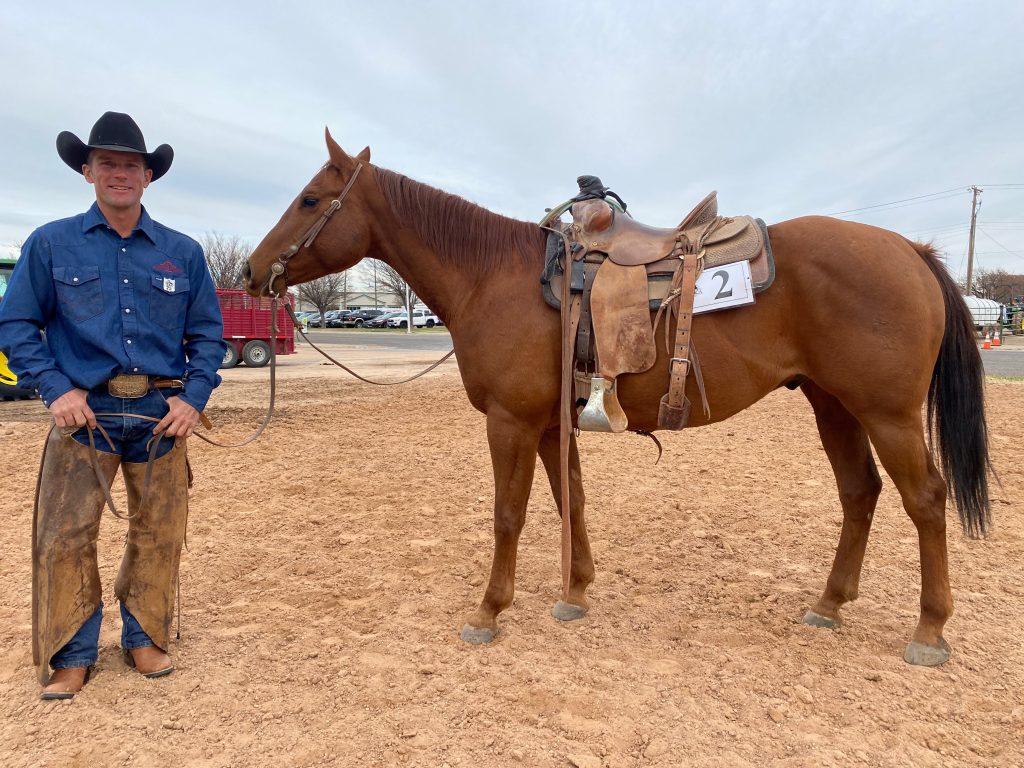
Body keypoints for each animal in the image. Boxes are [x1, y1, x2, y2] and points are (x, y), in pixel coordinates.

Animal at [243, 130, 991, 667]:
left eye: (309, 199)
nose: (252, 271)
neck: (493, 276)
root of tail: (911, 250)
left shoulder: (511, 423)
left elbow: (509, 515)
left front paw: (489, 611)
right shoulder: (551, 424)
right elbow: (569, 499)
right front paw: (575, 592)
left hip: (887, 414)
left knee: (926, 500)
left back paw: (929, 630)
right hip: (833, 405)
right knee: (859, 493)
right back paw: (829, 605)